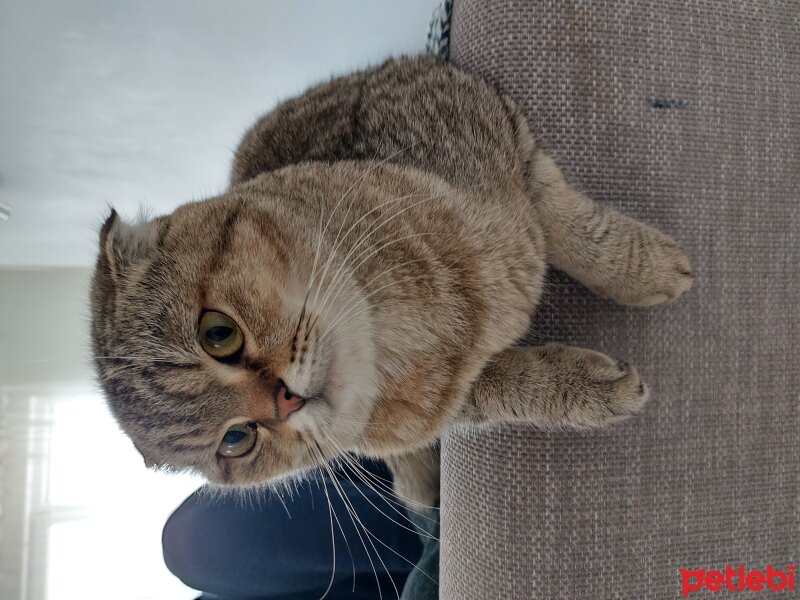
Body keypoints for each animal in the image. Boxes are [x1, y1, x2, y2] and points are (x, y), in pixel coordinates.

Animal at [87, 55, 692, 506]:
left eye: (218, 333)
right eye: (236, 441)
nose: (284, 404)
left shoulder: (508, 143)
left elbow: (571, 227)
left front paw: (647, 269)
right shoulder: (454, 403)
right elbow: (509, 387)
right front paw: (586, 389)